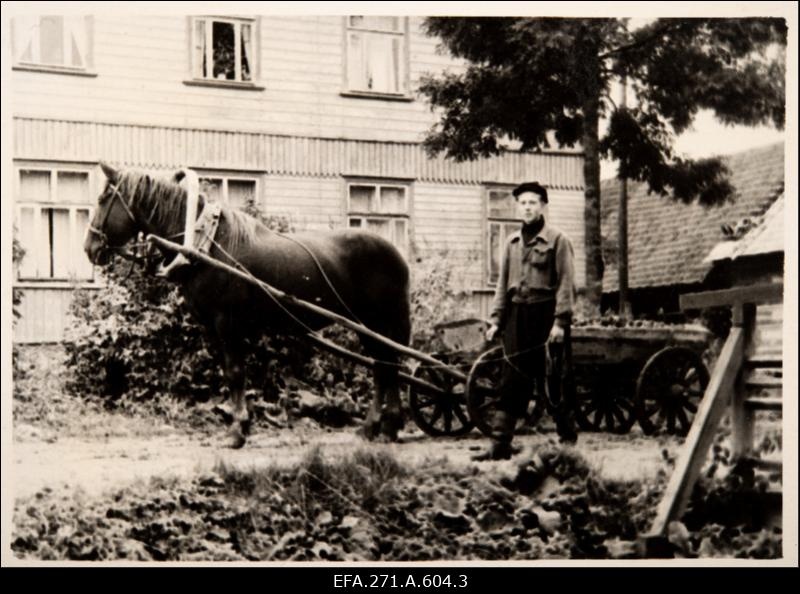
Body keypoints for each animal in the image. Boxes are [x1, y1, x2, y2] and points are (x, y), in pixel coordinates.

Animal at [84, 160, 412, 446]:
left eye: (102, 198)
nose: (90, 248)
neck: (207, 244)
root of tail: (397, 254)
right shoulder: (211, 326)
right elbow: (228, 373)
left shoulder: (227, 323)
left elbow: (235, 372)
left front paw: (237, 430)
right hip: (368, 324)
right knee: (385, 366)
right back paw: (380, 428)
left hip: (375, 321)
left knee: (386, 365)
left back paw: (382, 426)